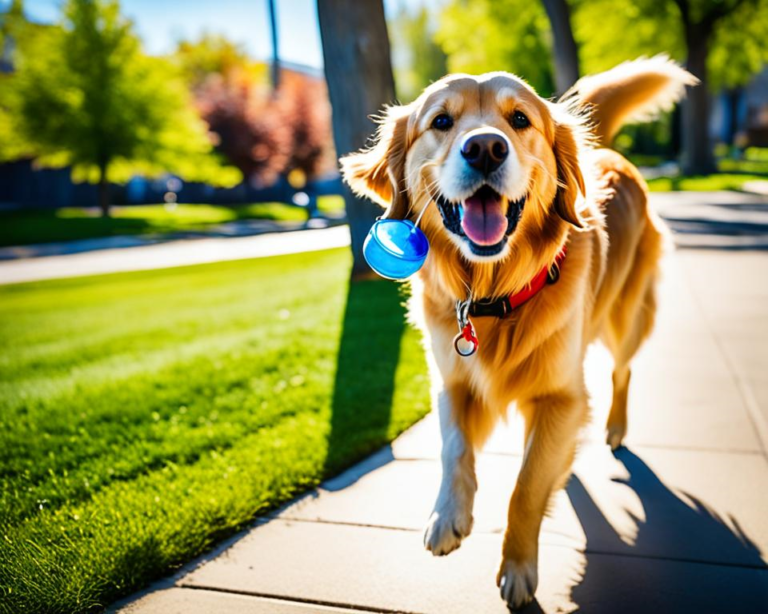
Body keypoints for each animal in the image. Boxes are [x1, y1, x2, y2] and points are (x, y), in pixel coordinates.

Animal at [342, 57, 696, 612]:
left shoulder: (559, 396)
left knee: (622, 370)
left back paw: (615, 426)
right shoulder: (452, 380)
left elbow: (527, 487)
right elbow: (453, 448)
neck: (494, 296)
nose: (485, 147)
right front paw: (447, 516)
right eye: (441, 121)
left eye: (520, 120)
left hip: (625, 319)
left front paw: (518, 568)